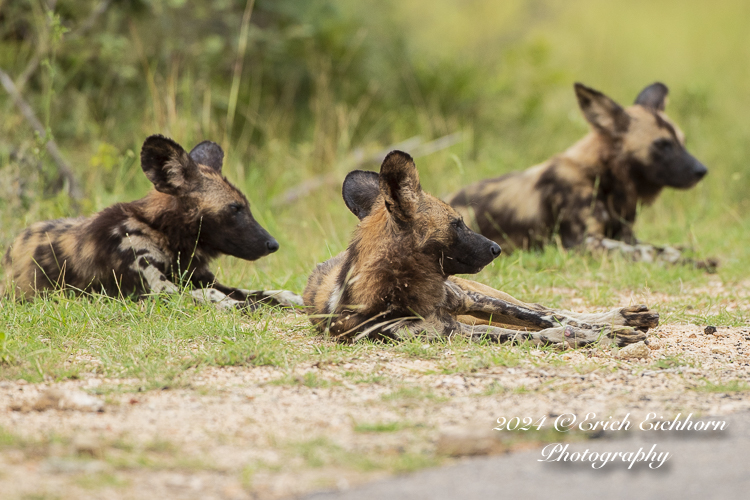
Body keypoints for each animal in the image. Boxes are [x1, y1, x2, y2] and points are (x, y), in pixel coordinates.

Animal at [3, 135, 302, 310]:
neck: (164, 236)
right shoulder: (158, 290)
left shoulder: (199, 278)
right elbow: (213, 296)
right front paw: (234, 305)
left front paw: (289, 297)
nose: (273, 244)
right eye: (235, 209)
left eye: (245, 206)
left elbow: (256, 292)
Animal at [302, 152, 660, 348]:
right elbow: (538, 333)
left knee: (544, 307)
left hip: (481, 295)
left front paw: (608, 328)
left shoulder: (471, 300)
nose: (496, 248)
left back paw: (623, 316)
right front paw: (601, 337)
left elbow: (549, 317)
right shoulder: (449, 331)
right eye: (458, 224)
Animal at [446, 82, 716, 270]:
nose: (702, 170)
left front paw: (688, 255)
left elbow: (659, 248)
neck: (607, 181)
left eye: (682, 142)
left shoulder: (625, 236)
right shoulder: (583, 243)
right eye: (662, 144)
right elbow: (647, 253)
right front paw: (693, 263)